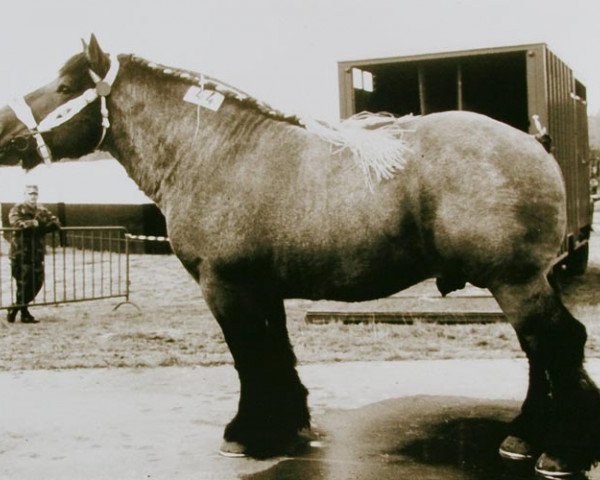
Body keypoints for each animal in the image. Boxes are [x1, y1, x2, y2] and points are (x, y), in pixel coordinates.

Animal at [1, 33, 600, 476]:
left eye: (62, 86)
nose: (4, 131)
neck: (216, 151)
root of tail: (533, 142)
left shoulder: (226, 287)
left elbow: (249, 358)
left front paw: (247, 434)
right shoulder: (262, 288)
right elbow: (276, 355)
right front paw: (290, 426)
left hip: (515, 280)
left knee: (560, 343)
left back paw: (560, 451)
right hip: (523, 280)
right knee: (538, 351)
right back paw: (523, 436)